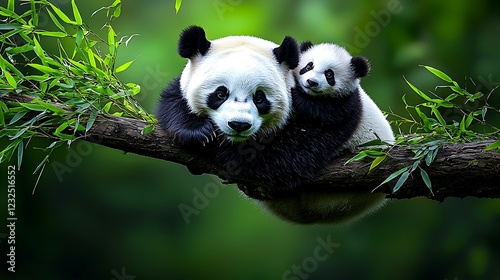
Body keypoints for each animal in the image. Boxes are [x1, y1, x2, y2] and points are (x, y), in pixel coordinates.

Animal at [260, 41, 396, 224]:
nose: (311, 82)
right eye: (309, 66)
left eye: (329, 74)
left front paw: (297, 96)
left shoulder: (346, 103)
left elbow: (326, 113)